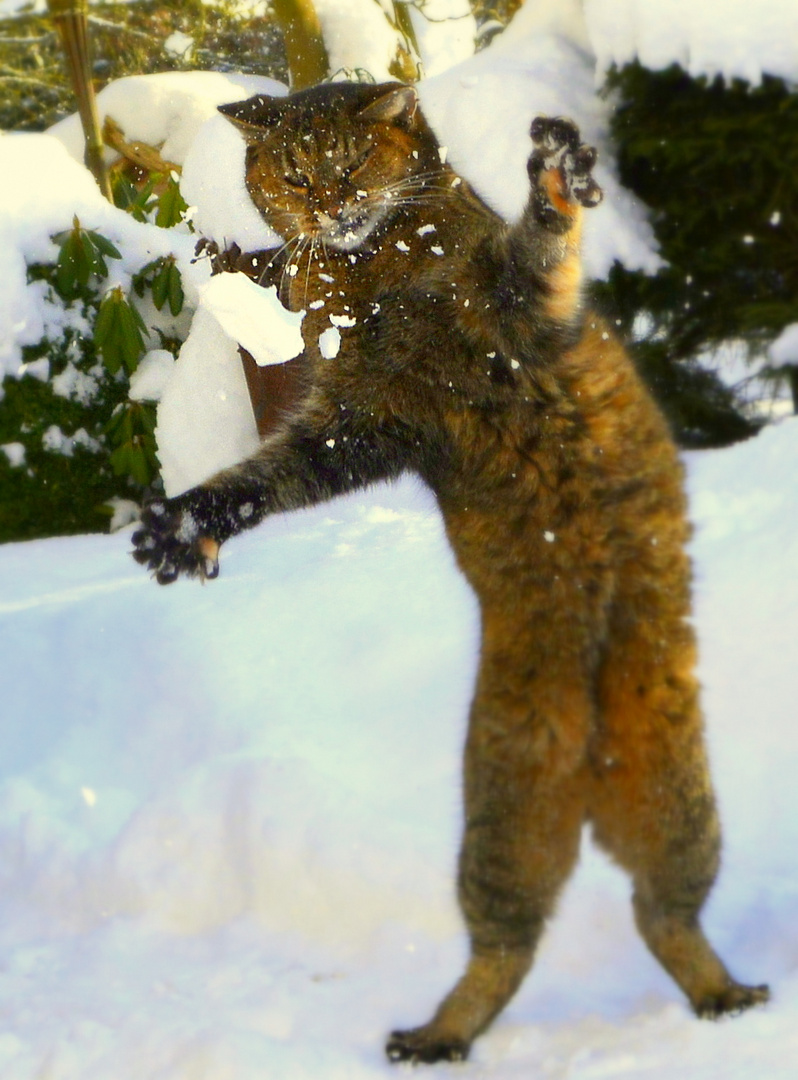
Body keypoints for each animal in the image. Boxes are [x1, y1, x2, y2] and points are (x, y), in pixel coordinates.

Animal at [131, 82, 768, 1062]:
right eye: (293, 172)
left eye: (351, 160)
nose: (328, 202)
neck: (376, 277)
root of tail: (591, 769)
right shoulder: (361, 421)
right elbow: (265, 477)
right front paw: (187, 524)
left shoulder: (516, 307)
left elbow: (542, 243)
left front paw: (554, 177)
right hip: (506, 819)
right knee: (517, 943)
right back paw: (437, 1035)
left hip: (678, 805)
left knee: (662, 920)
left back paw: (725, 999)